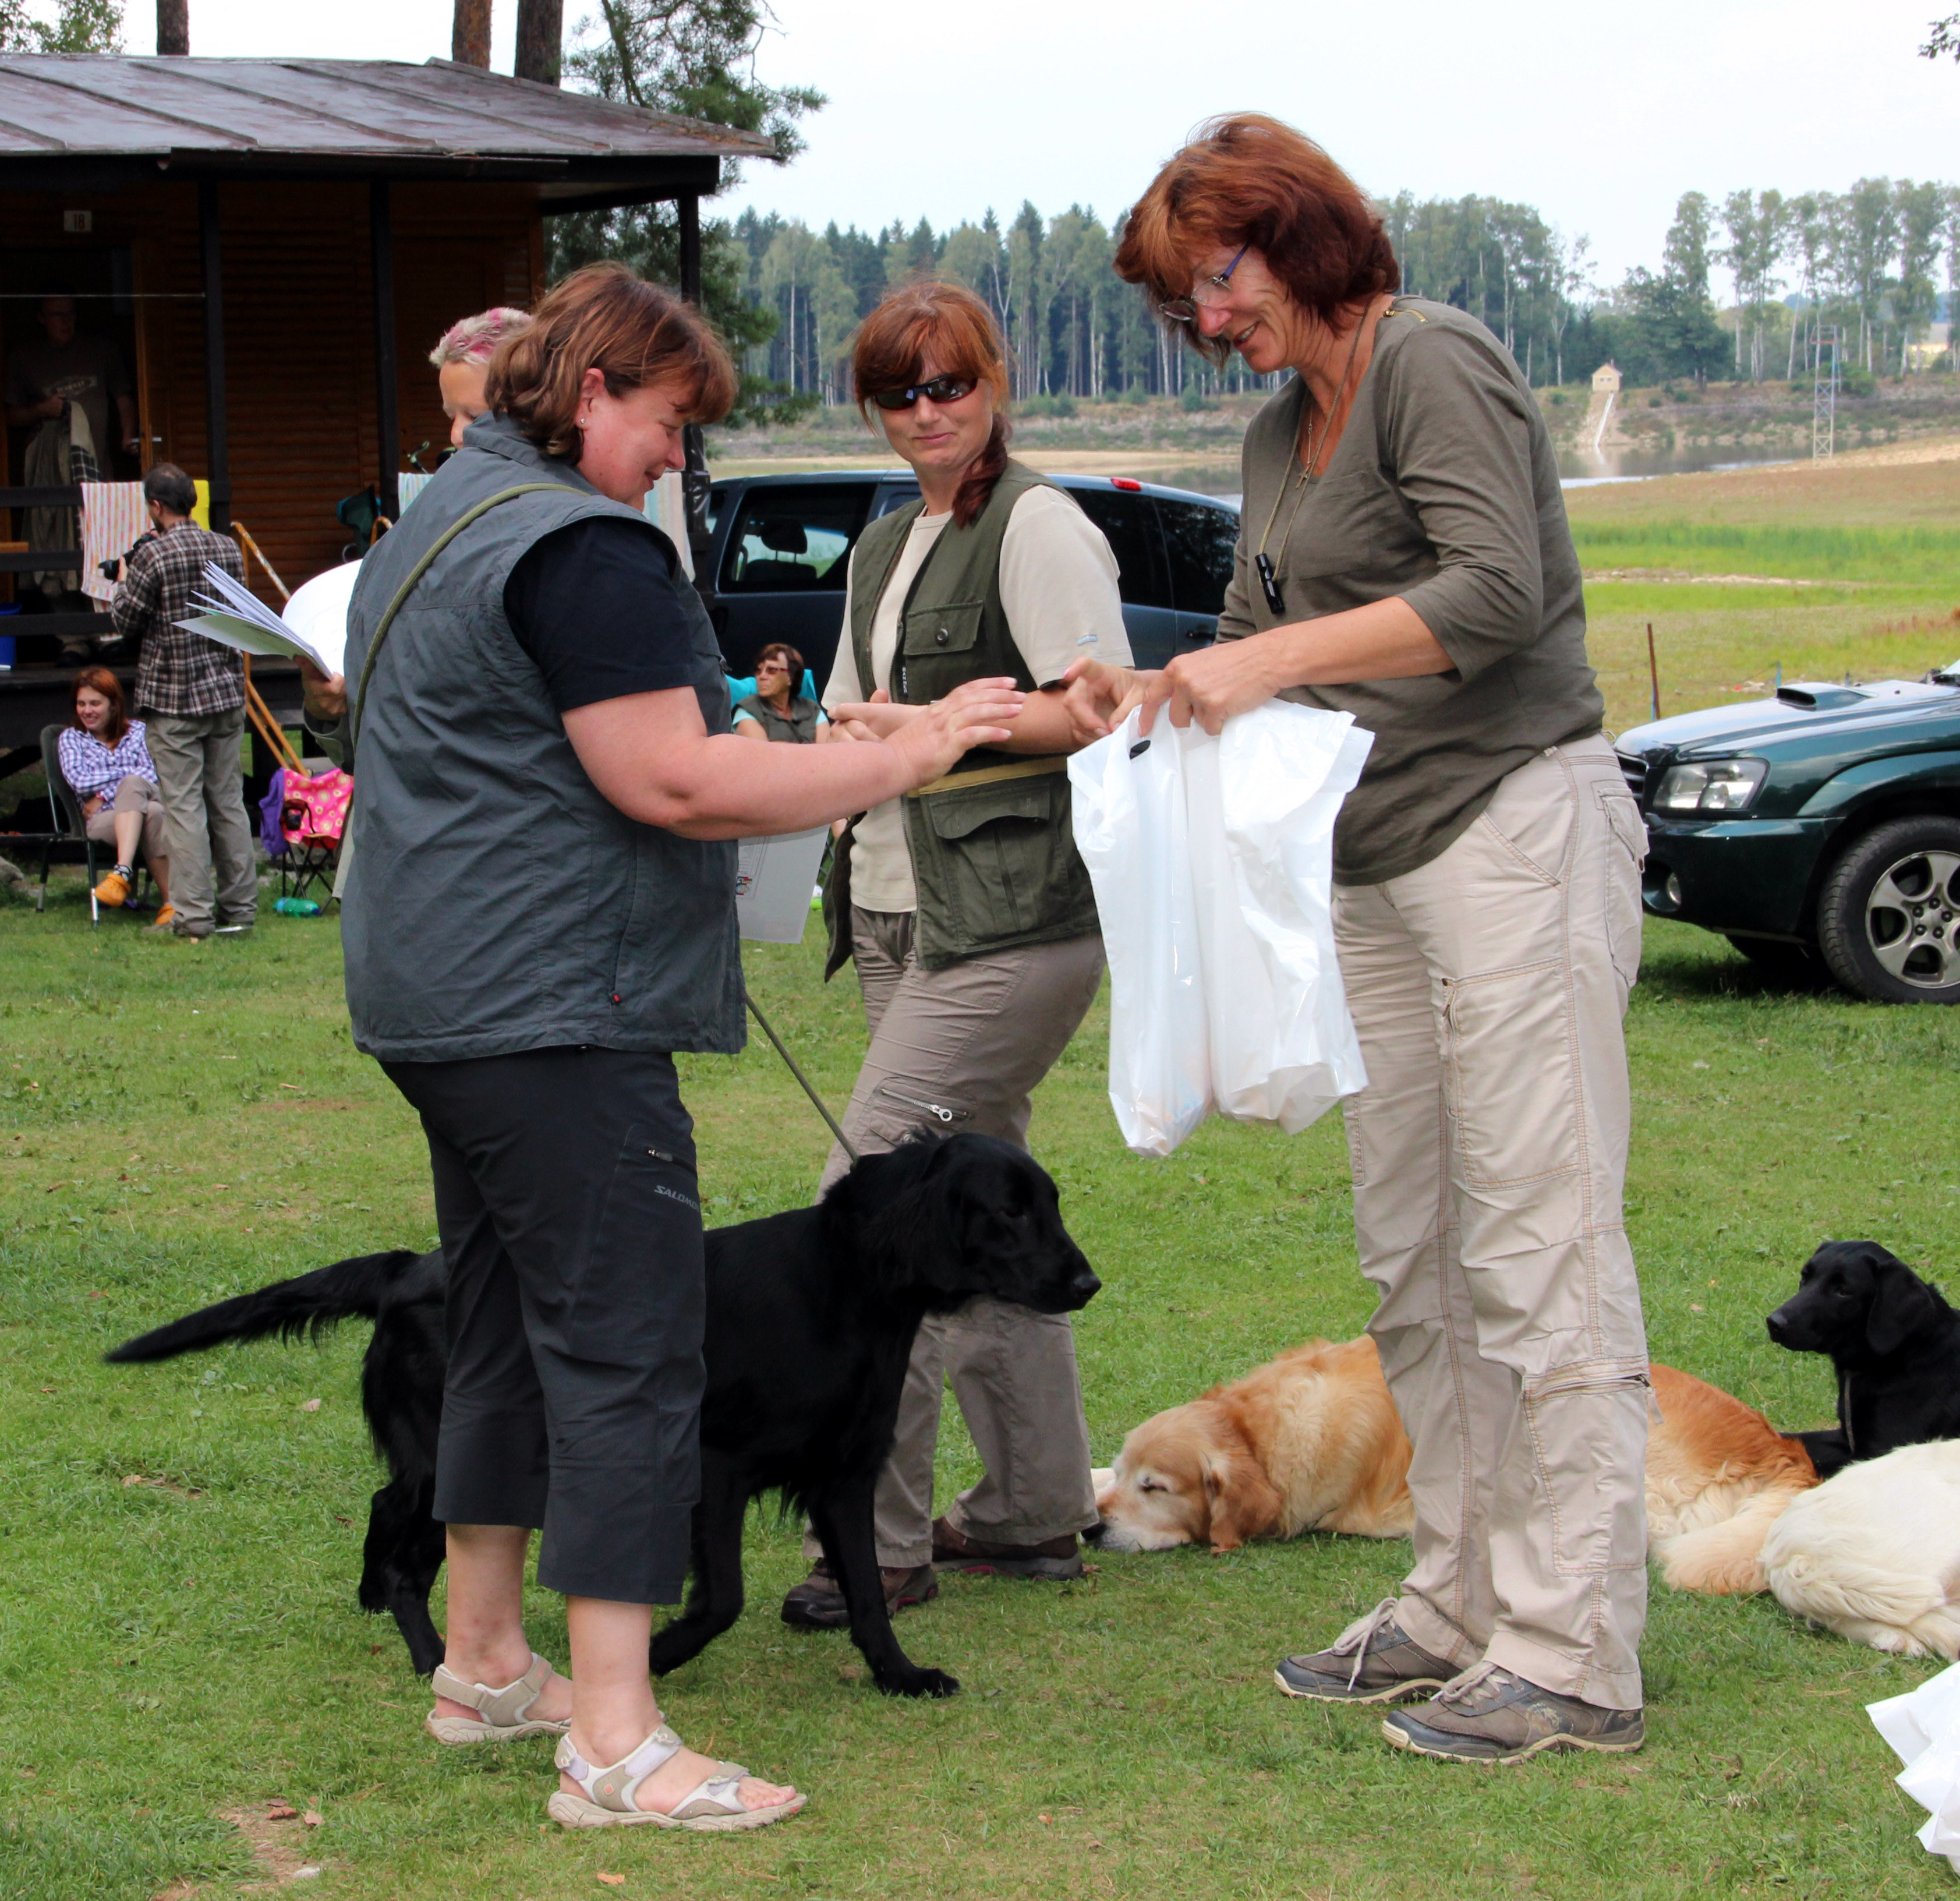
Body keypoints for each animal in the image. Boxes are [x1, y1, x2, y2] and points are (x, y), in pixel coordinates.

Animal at [111, 1136, 1105, 1693]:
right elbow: (723, 1599)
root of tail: (406, 1268)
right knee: (403, 1541)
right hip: (452, 1451)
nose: (1088, 1281)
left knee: (382, 1509)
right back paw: (430, 1654)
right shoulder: (713, 1466)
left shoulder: (843, 1474)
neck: (847, 1289)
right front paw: (655, 1660)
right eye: (1007, 1212)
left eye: (1051, 1203)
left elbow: (866, 1592)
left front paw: (898, 1677)